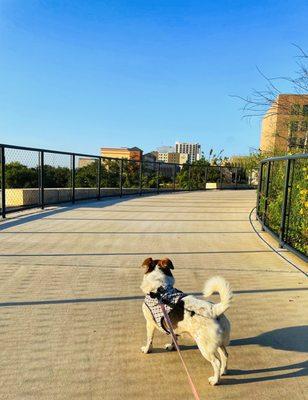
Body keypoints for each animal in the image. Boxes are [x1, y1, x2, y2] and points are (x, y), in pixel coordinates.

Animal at [140, 258, 231, 386]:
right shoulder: (172, 327)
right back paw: (224, 371)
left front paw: (147, 349)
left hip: (205, 347)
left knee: (216, 362)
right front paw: (172, 346)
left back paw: (215, 380)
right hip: (218, 343)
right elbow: (173, 338)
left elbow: (149, 339)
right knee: (225, 355)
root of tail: (214, 310)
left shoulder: (149, 323)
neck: (160, 288)